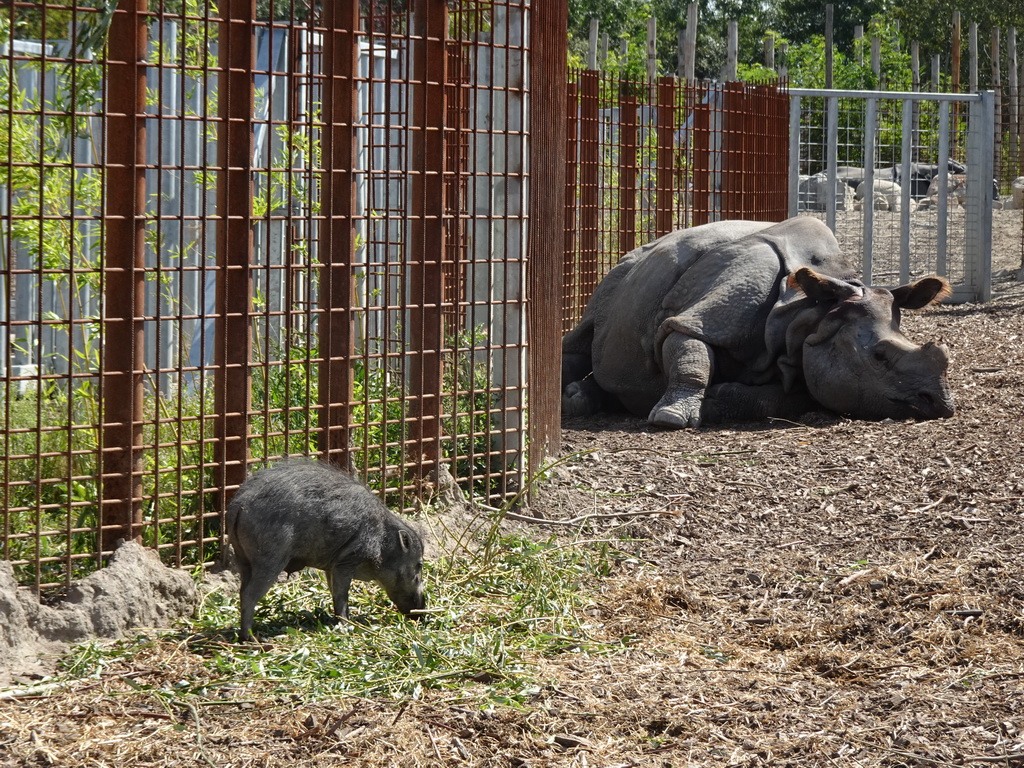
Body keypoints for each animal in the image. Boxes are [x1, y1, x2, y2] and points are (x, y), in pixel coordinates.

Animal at [226, 460, 425, 638]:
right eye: (419, 565)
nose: (421, 614)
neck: (382, 540)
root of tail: (239, 505)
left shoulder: (332, 566)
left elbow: (334, 592)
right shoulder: (346, 561)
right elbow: (341, 595)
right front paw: (347, 625)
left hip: (242, 560)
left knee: (242, 592)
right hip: (270, 561)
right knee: (250, 595)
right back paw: (253, 639)